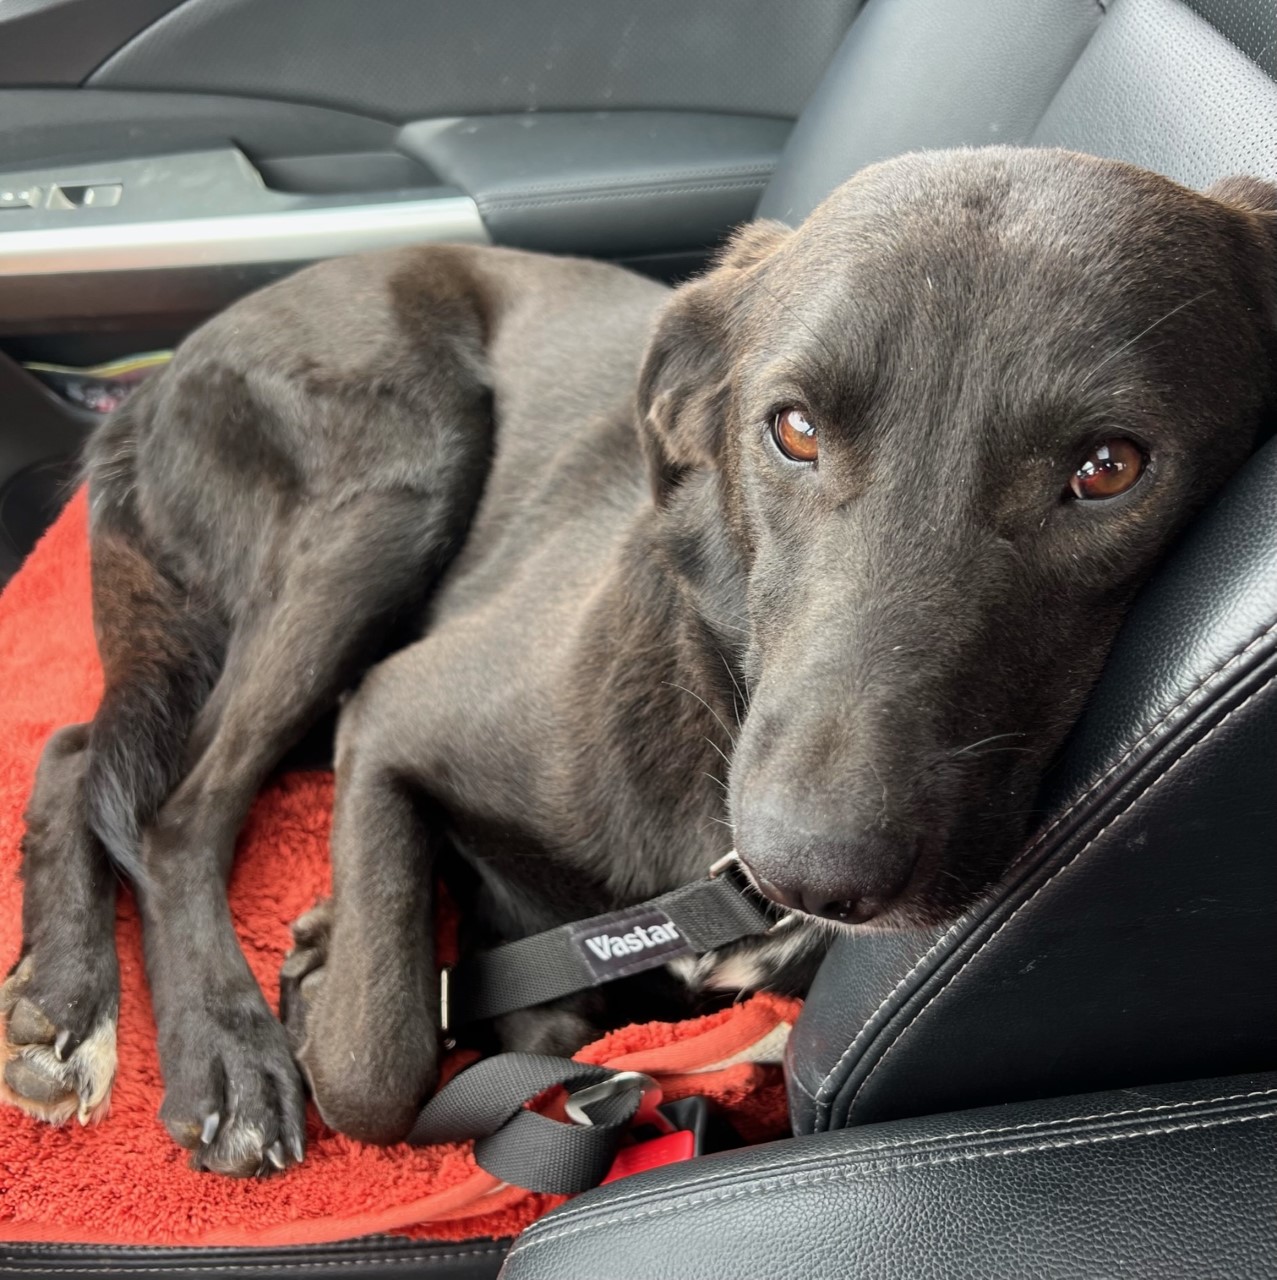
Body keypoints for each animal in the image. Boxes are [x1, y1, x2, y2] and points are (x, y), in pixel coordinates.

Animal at [2, 147, 1274, 1176]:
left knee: (82, 750)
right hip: (396, 479)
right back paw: (216, 1047)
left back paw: (63, 999)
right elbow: (379, 1061)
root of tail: (150, 387)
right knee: (173, 804)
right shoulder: (396, 708)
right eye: (792, 429)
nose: (815, 869)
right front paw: (329, 983)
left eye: (1107, 467)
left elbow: (545, 1036)